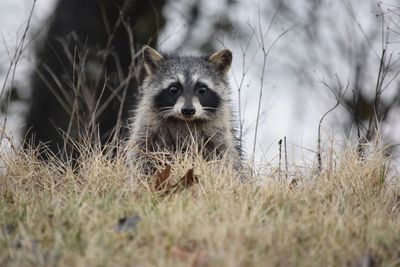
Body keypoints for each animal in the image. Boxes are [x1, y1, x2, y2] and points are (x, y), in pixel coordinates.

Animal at [127, 46, 241, 175]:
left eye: (202, 90)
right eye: (174, 89)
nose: (188, 110)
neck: (185, 121)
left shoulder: (219, 135)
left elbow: (226, 158)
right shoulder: (148, 128)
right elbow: (141, 153)